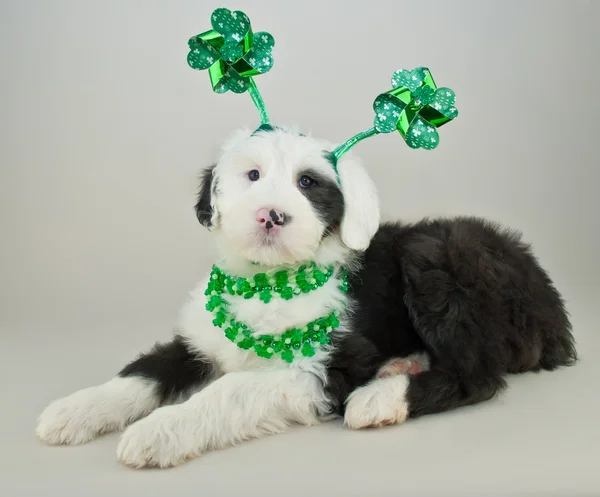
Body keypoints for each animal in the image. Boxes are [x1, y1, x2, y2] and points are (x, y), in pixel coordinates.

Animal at [36, 126, 576, 466]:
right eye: (252, 176)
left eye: (309, 183)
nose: (271, 215)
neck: (266, 284)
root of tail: (548, 300)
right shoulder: (199, 341)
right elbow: (141, 373)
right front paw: (73, 411)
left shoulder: (322, 366)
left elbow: (230, 390)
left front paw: (158, 432)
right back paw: (402, 365)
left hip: (437, 257)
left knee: (478, 376)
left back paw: (381, 397)